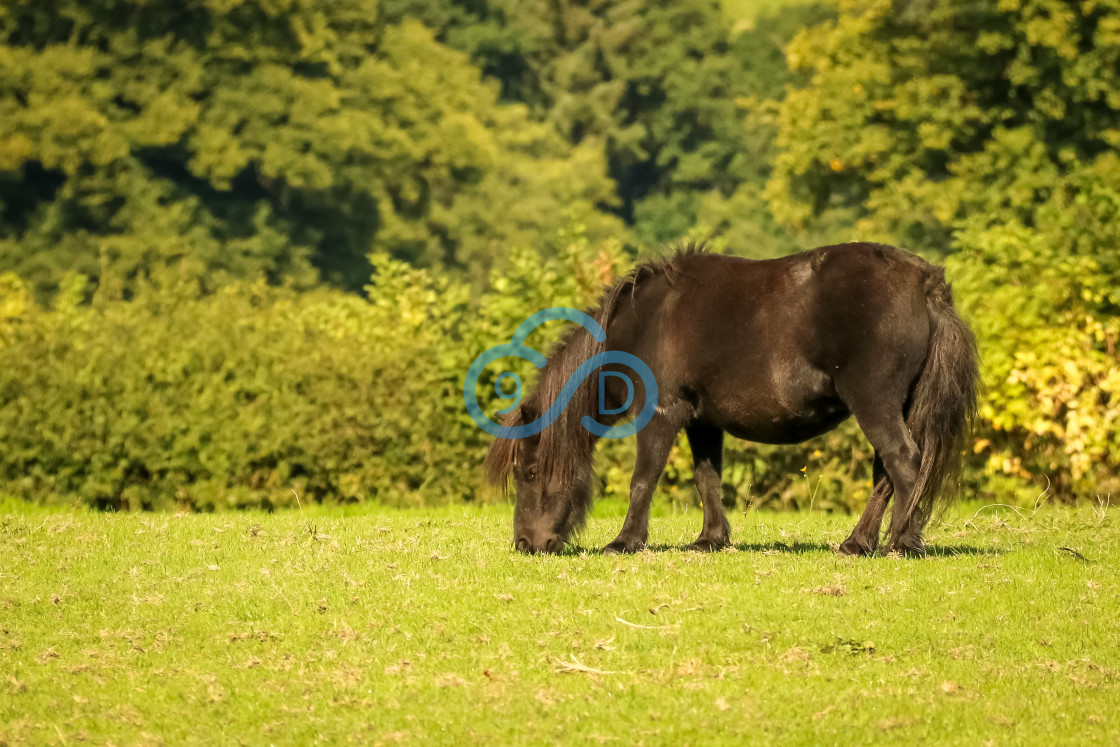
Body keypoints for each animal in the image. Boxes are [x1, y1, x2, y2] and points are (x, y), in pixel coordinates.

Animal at [486, 243, 976, 557]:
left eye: (531, 472)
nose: (526, 544)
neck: (643, 323)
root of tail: (925, 283)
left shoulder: (660, 414)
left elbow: (643, 480)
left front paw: (626, 541)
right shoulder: (702, 421)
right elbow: (708, 479)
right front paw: (711, 539)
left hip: (874, 403)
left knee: (904, 463)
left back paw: (902, 543)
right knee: (886, 474)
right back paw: (858, 543)